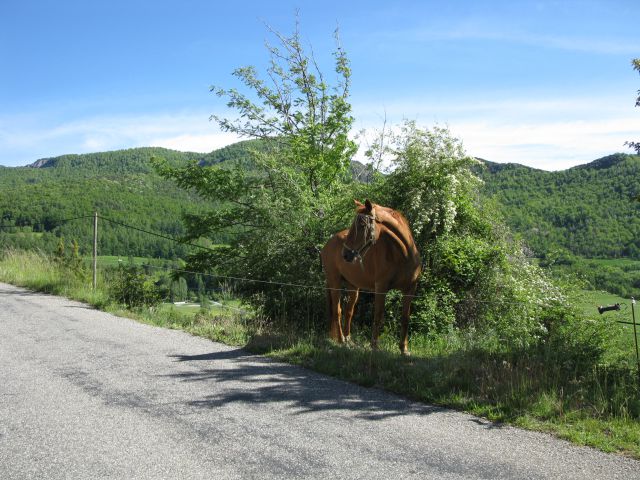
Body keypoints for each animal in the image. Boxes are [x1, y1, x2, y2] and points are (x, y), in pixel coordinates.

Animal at [322, 200, 422, 356]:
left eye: (362, 225)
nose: (345, 254)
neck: (403, 255)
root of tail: (328, 243)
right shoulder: (381, 288)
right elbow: (378, 316)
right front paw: (374, 347)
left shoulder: (410, 288)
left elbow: (405, 317)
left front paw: (403, 349)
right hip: (335, 283)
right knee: (337, 310)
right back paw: (340, 340)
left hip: (353, 287)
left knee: (349, 311)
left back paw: (348, 340)